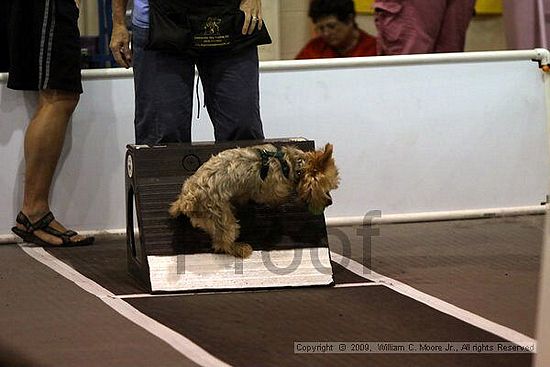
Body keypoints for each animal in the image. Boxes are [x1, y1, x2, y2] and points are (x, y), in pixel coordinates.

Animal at [168, 143, 340, 258]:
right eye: (326, 188)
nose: (330, 202)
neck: (291, 164)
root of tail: (187, 200)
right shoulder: (271, 191)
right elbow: (277, 199)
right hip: (222, 219)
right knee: (221, 244)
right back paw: (240, 248)